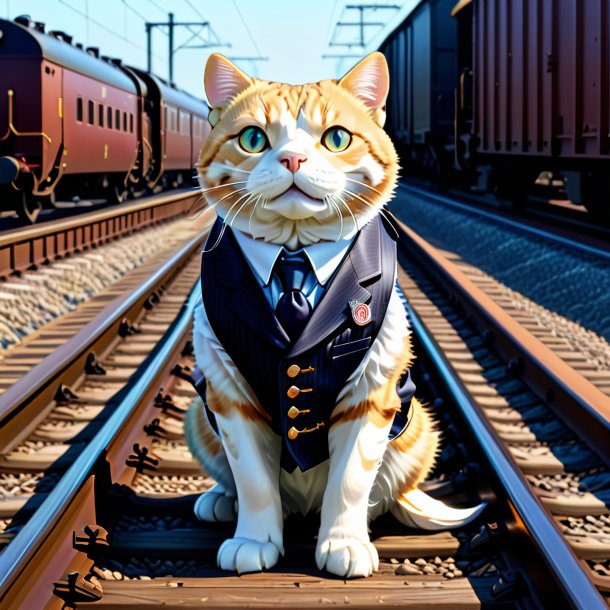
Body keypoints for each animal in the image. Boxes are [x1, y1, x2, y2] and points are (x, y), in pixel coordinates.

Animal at [185, 51, 480, 576]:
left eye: (336, 138)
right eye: (253, 138)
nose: (292, 159)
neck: (294, 251)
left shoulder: (372, 390)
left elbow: (352, 477)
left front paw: (344, 546)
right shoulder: (228, 392)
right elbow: (253, 478)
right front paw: (253, 543)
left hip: (420, 425)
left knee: (384, 489)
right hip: (198, 415)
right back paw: (219, 501)